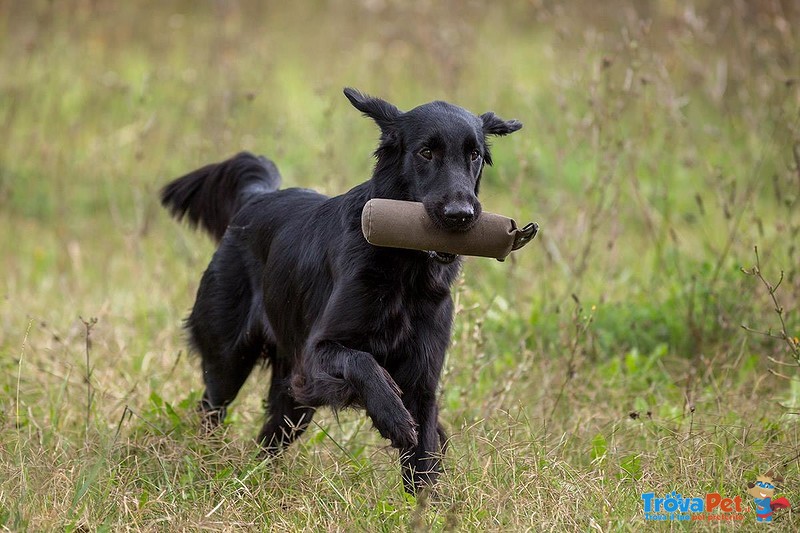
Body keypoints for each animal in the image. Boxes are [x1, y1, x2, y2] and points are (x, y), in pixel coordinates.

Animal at [159, 88, 520, 490]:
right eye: (426, 152)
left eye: (474, 155)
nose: (461, 215)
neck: (406, 271)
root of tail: (257, 197)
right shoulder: (314, 355)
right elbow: (361, 361)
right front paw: (392, 416)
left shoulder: (423, 378)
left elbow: (424, 456)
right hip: (228, 360)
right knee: (211, 410)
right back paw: (205, 462)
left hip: (291, 398)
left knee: (269, 439)